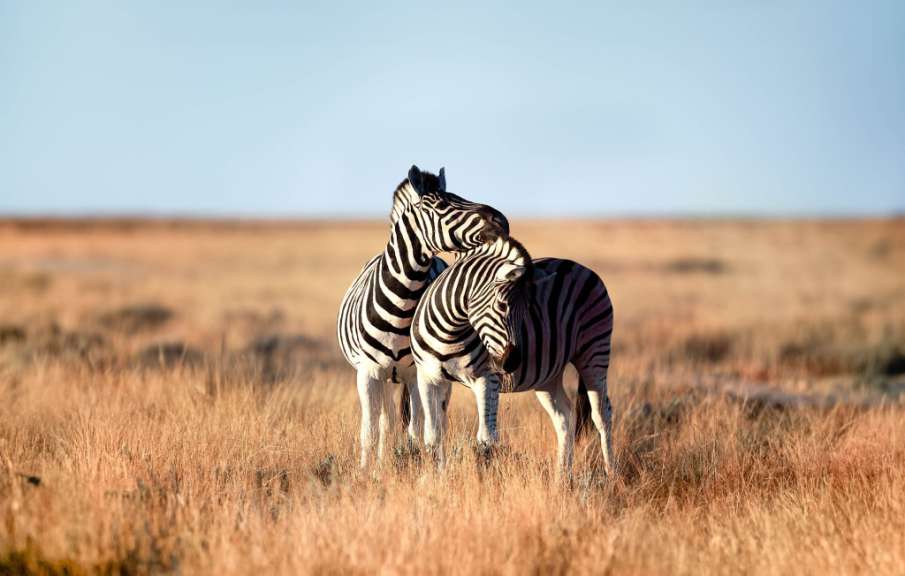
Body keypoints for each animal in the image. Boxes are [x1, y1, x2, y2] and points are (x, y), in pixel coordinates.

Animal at [337, 165, 509, 468]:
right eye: (442, 206)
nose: (501, 220)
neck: (402, 302)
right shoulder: (367, 373)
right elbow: (370, 431)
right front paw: (367, 472)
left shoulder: (419, 374)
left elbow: (418, 430)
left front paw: (417, 466)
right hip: (386, 377)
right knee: (386, 421)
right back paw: (381, 465)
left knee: (427, 421)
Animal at [410, 235, 615, 477]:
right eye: (502, 305)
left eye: (528, 310)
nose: (513, 361)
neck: (449, 331)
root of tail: (582, 267)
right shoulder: (428, 377)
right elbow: (433, 436)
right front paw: (437, 479)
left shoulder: (486, 378)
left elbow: (486, 438)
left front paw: (482, 481)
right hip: (548, 375)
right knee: (564, 416)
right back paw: (561, 477)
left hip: (595, 351)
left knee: (602, 415)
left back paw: (611, 474)